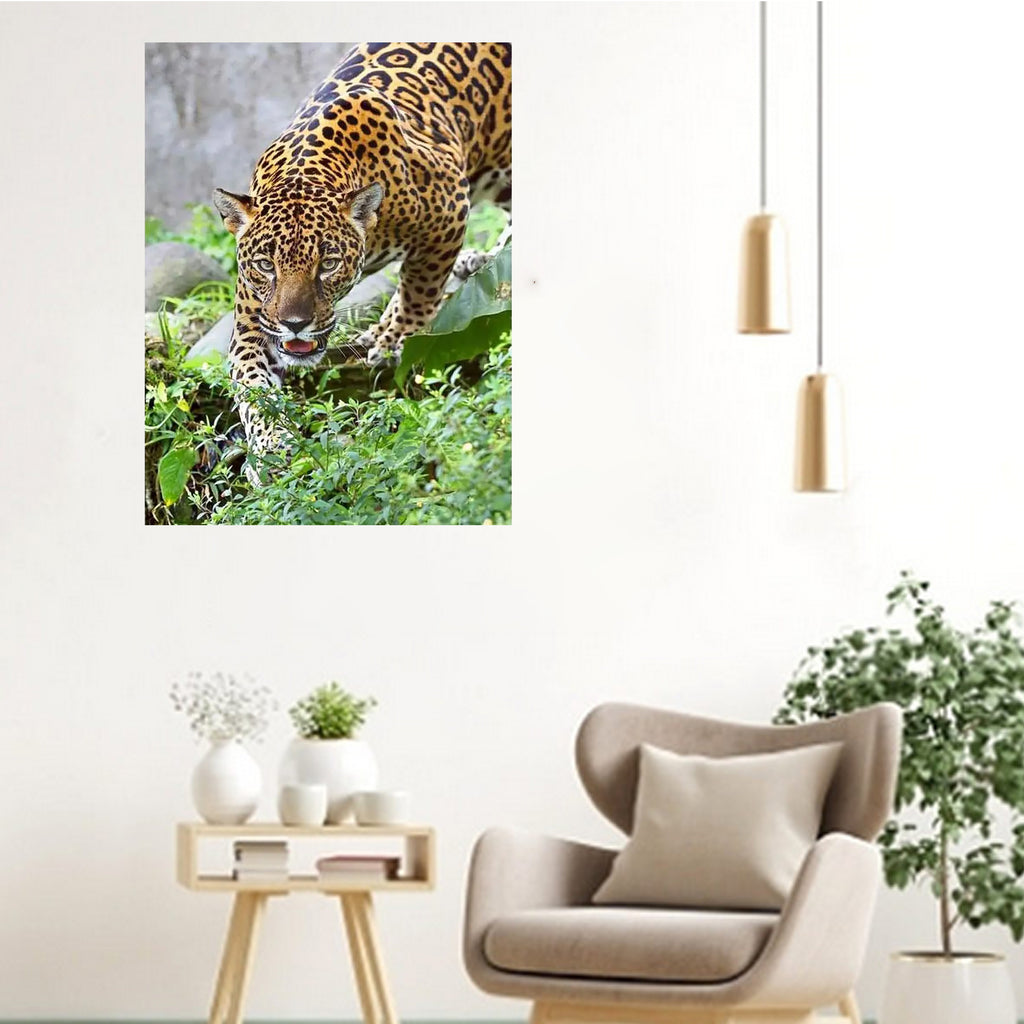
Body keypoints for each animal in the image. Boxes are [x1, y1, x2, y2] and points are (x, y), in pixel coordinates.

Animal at [212, 42, 511, 481]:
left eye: (328, 264)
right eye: (266, 266)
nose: (295, 323)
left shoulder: (451, 206)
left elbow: (420, 288)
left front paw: (391, 340)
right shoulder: (254, 318)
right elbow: (251, 383)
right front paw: (269, 448)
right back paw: (483, 260)